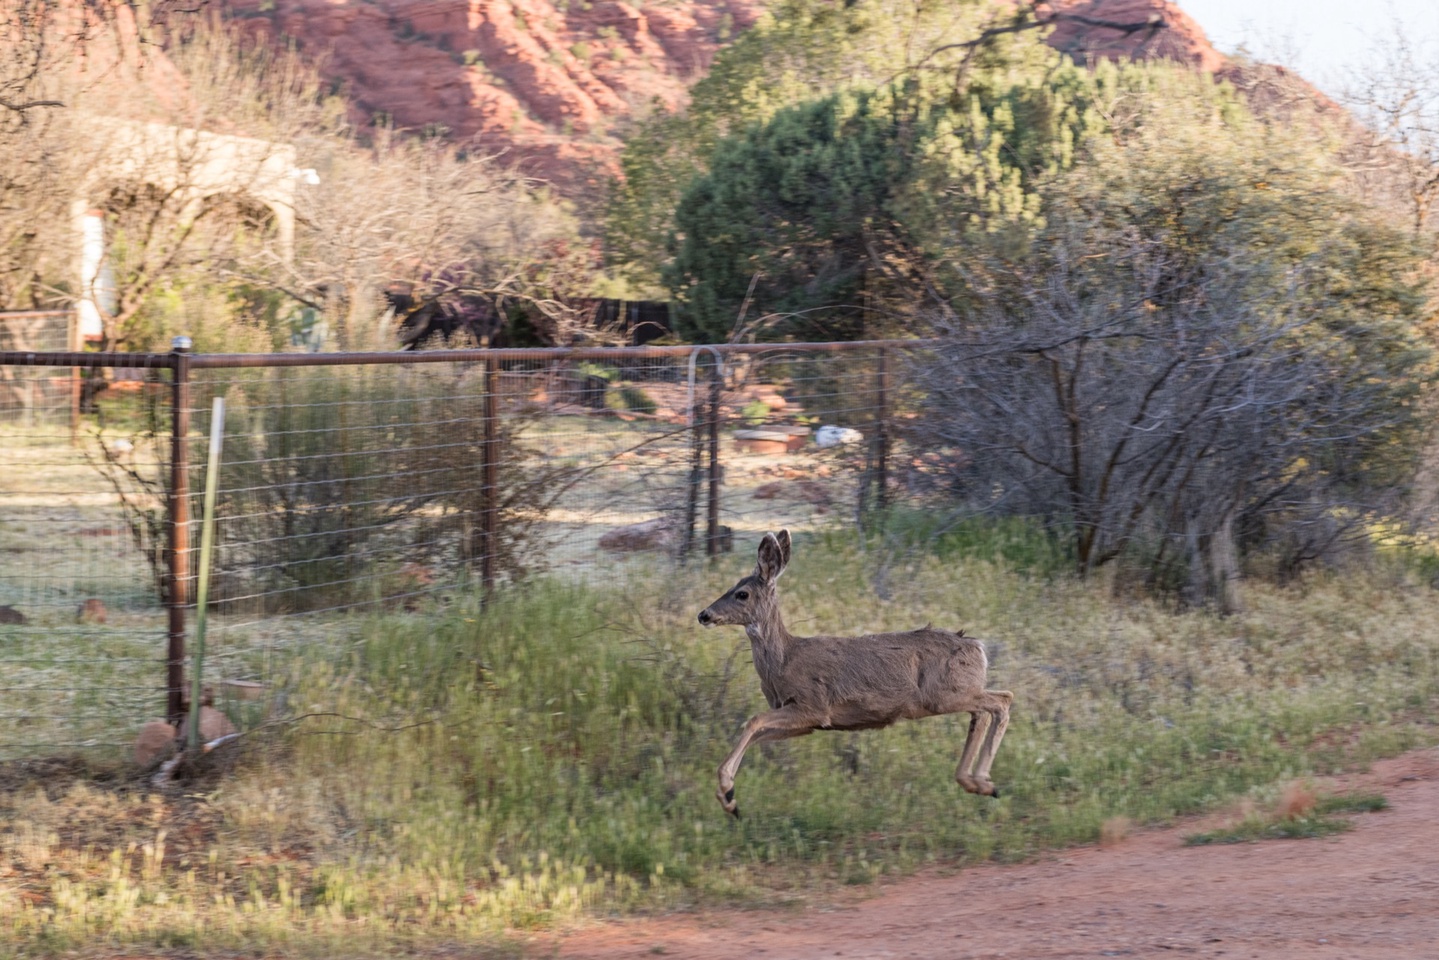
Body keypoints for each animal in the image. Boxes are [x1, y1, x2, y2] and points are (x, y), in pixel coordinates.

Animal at [696, 532, 1013, 817]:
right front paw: (730, 799)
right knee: (984, 711)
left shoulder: (813, 706)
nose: (704, 615)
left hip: (943, 694)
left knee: (1003, 699)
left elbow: (754, 721)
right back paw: (977, 782)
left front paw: (726, 791)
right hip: (955, 693)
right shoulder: (805, 723)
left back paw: (982, 782)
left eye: (742, 593)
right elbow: (758, 734)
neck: (783, 661)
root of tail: (978, 648)